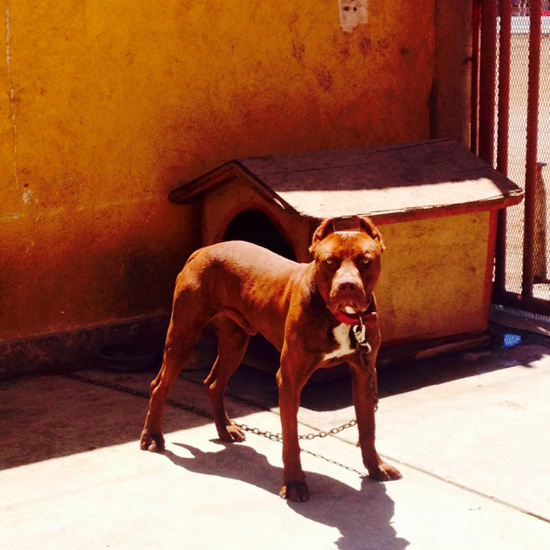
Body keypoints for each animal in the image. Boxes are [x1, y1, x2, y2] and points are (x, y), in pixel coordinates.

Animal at [141, 216, 402, 504]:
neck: (340, 317)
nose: (347, 286)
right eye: (329, 261)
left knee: (214, 383)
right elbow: (291, 438)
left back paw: (225, 429)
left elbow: (368, 428)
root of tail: (202, 251)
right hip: (183, 336)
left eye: (365, 260)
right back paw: (152, 437)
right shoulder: (290, 379)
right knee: (160, 385)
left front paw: (376, 468)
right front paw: (295, 483)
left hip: (235, 341)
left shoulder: (364, 373)